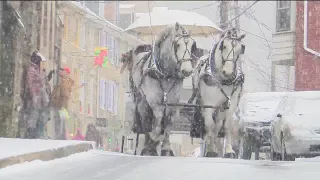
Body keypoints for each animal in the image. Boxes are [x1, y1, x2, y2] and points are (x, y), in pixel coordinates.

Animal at [120, 22, 198, 156]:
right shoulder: (155, 103)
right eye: (177, 44)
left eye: (192, 45)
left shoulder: (172, 104)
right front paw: (154, 141)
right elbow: (156, 124)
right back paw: (148, 146)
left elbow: (167, 124)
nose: (187, 70)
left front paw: (166, 148)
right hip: (142, 102)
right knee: (146, 121)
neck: (164, 74)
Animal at [190, 27, 245, 158]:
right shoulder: (208, 104)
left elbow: (226, 125)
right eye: (223, 46)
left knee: (218, 125)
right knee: (208, 128)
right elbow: (209, 125)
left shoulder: (232, 103)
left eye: (240, 48)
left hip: (221, 107)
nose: (228, 72)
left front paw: (229, 151)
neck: (223, 80)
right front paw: (211, 150)